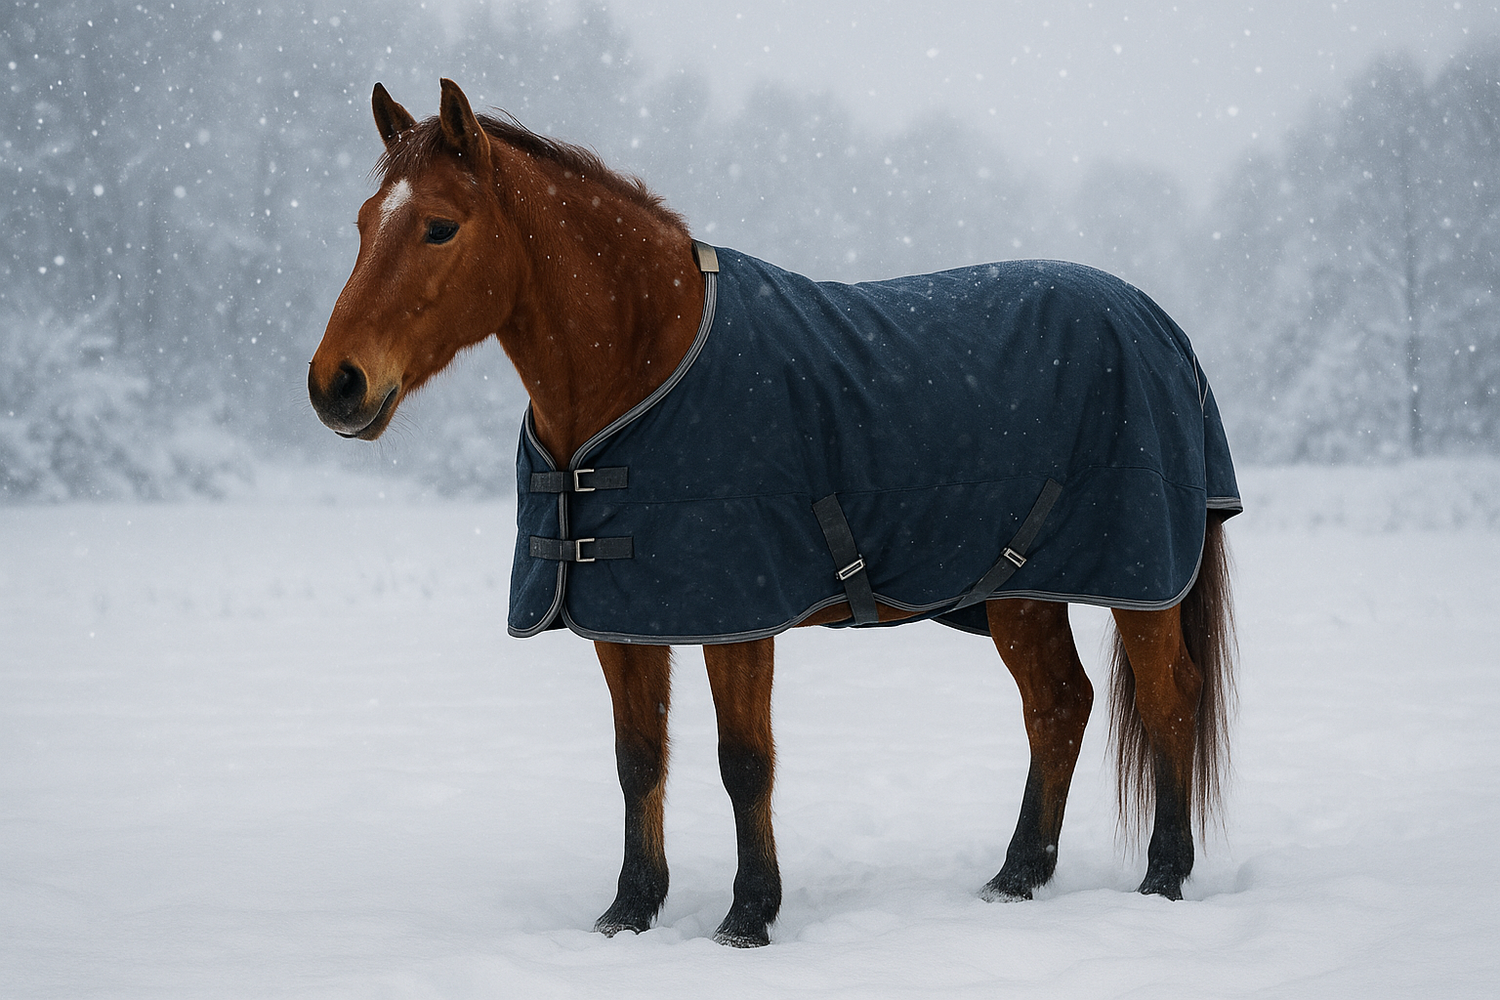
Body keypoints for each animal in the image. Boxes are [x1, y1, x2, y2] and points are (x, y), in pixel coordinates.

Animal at [308, 79, 1239, 948]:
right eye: (362, 223)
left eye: (440, 227)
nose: (335, 384)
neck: (647, 362)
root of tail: (1161, 326)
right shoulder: (624, 616)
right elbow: (637, 760)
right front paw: (628, 912)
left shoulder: (740, 616)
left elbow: (744, 762)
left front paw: (748, 917)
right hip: (1023, 591)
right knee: (1059, 707)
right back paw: (1016, 879)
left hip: (1138, 582)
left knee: (1169, 699)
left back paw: (1162, 877)